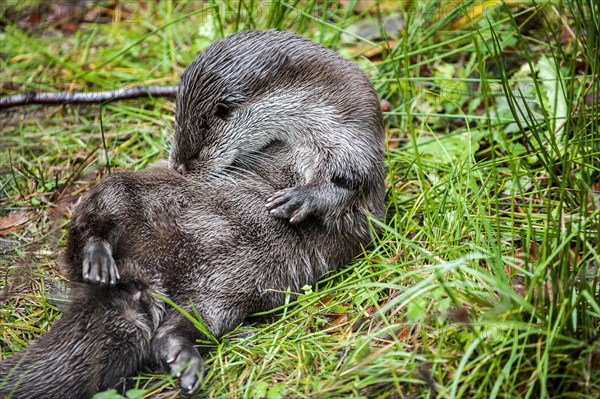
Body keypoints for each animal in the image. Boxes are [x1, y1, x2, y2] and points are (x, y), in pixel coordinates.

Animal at [0, 29, 384, 398]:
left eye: (207, 123)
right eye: (177, 119)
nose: (179, 166)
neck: (307, 139)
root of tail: (140, 278)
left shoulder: (356, 148)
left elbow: (345, 188)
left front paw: (299, 199)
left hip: (221, 295)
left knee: (178, 328)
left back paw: (183, 360)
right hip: (127, 190)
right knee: (95, 214)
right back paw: (97, 259)